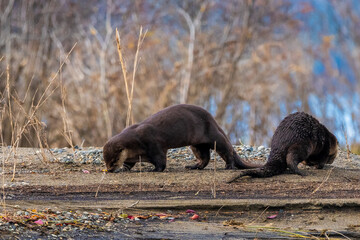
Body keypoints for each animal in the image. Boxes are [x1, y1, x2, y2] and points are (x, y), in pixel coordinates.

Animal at [102, 104, 260, 172]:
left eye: (114, 160)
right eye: (106, 161)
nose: (109, 169)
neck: (136, 143)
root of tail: (212, 119)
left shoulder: (153, 144)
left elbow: (161, 161)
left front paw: (155, 170)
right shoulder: (132, 155)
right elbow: (129, 163)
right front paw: (124, 168)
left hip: (213, 135)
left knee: (226, 150)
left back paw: (229, 166)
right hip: (196, 144)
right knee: (204, 157)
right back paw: (194, 166)